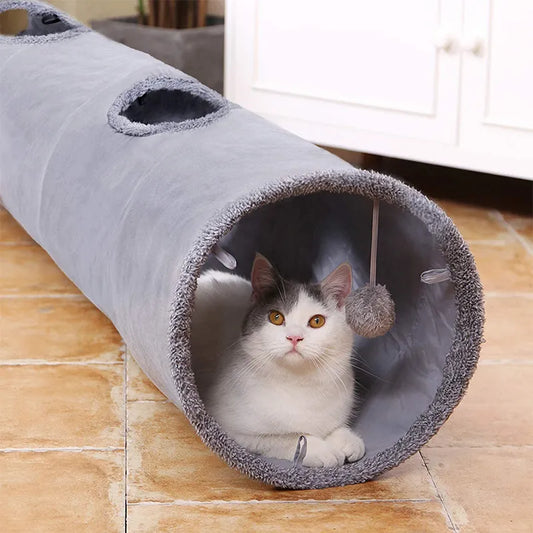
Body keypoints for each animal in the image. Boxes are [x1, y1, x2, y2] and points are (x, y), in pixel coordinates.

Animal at [189, 254, 364, 466]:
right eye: (276, 317)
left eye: (317, 321)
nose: (294, 337)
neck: (299, 384)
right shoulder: (230, 429)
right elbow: (288, 438)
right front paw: (322, 450)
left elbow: (334, 425)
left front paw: (347, 439)